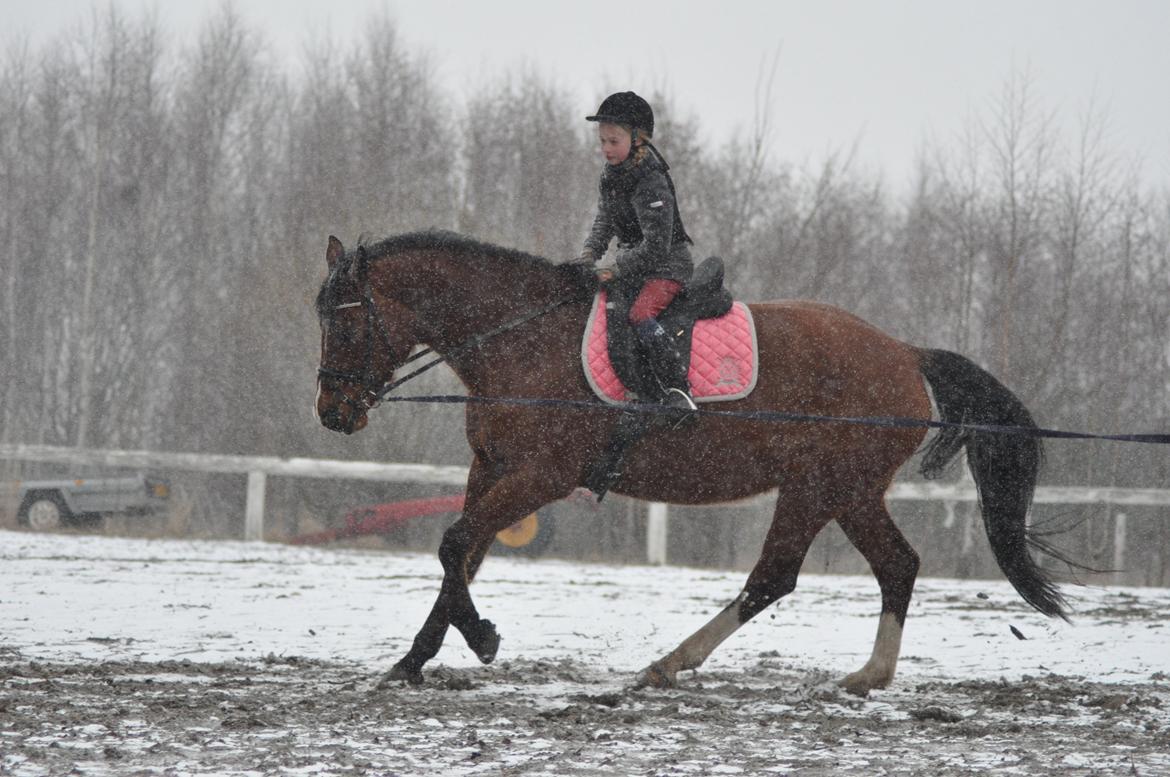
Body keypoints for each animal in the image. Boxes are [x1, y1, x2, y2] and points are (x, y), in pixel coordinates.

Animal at [313, 229, 1071, 692]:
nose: (332, 413)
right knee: (896, 565)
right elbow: (462, 555)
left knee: (775, 576)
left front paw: (482, 638)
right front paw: (413, 660)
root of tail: (905, 354)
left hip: (820, 486)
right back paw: (867, 677)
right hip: (849, 492)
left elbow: (455, 543)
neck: (519, 336)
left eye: (345, 319)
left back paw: (670, 663)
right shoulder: (491, 468)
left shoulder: (541, 477)